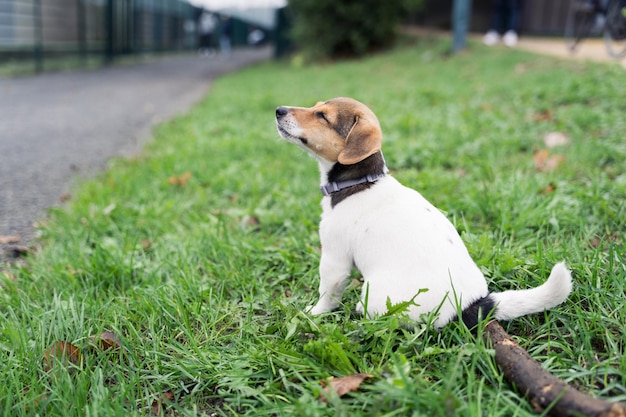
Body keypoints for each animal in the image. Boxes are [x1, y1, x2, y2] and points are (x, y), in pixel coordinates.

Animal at [274, 97, 572, 328]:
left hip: (376, 293)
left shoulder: (334, 258)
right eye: (315, 106)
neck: (359, 181)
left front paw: (313, 313)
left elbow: (327, 293)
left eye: (322, 116)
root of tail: (468, 305)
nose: (278, 109)